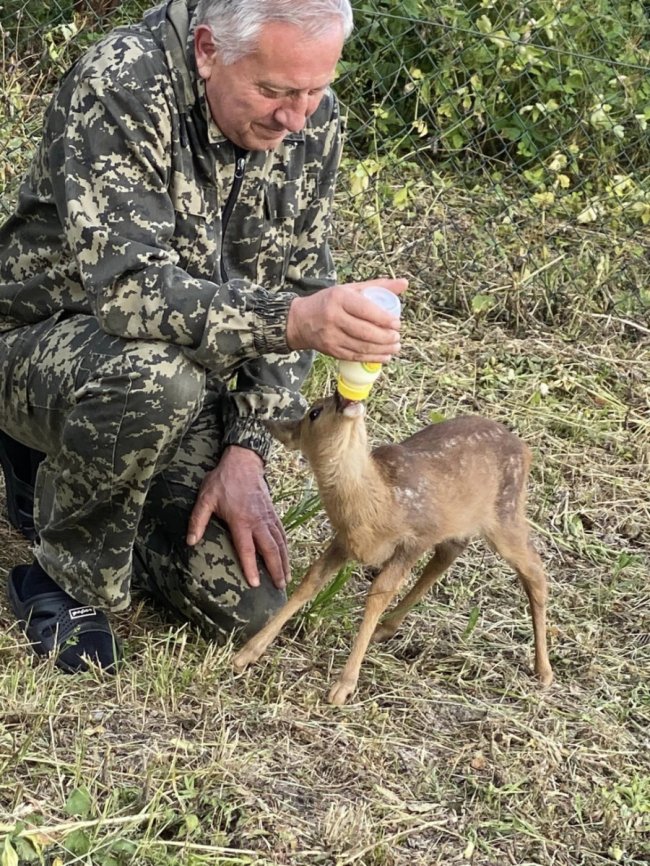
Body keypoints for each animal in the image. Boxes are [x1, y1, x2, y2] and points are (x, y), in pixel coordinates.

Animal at [233, 392, 552, 704]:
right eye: (314, 412)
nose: (340, 396)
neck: (377, 502)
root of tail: (525, 449)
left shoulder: (416, 538)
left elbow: (378, 594)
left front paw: (344, 686)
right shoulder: (344, 541)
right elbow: (310, 582)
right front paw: (248, 652)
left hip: (505, 513)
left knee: (534, 569)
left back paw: (544, 670)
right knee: (450, 553)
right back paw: (387, 628)